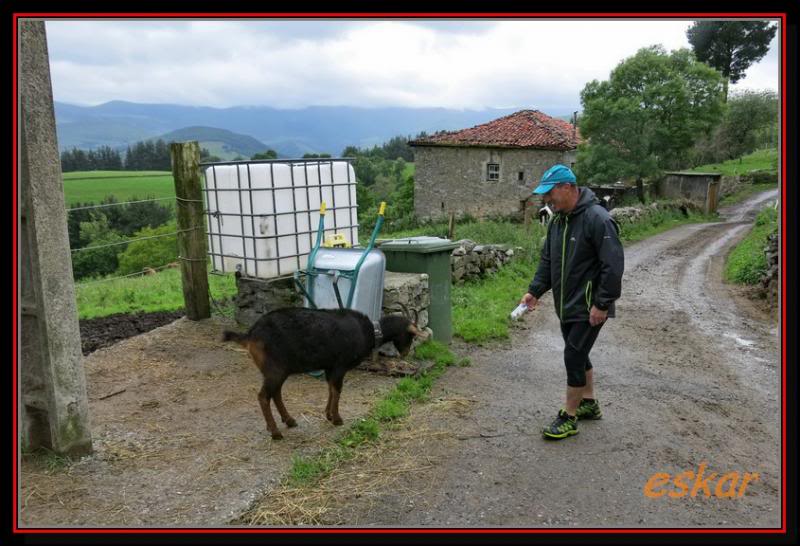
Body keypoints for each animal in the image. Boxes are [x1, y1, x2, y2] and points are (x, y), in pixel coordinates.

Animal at [222, 306, 422, 438]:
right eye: (411, 335)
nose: (405, 353)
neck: (370, 331)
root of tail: (250, 334)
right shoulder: (340, 365)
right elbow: (337, 390)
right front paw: (337, 419)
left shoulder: (330, 366)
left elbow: (330, 389)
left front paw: (328, 414)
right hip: (275, 369)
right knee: (264, 396)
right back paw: (275, 432)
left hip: (279, 371)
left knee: (275, 393)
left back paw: (289, 420)